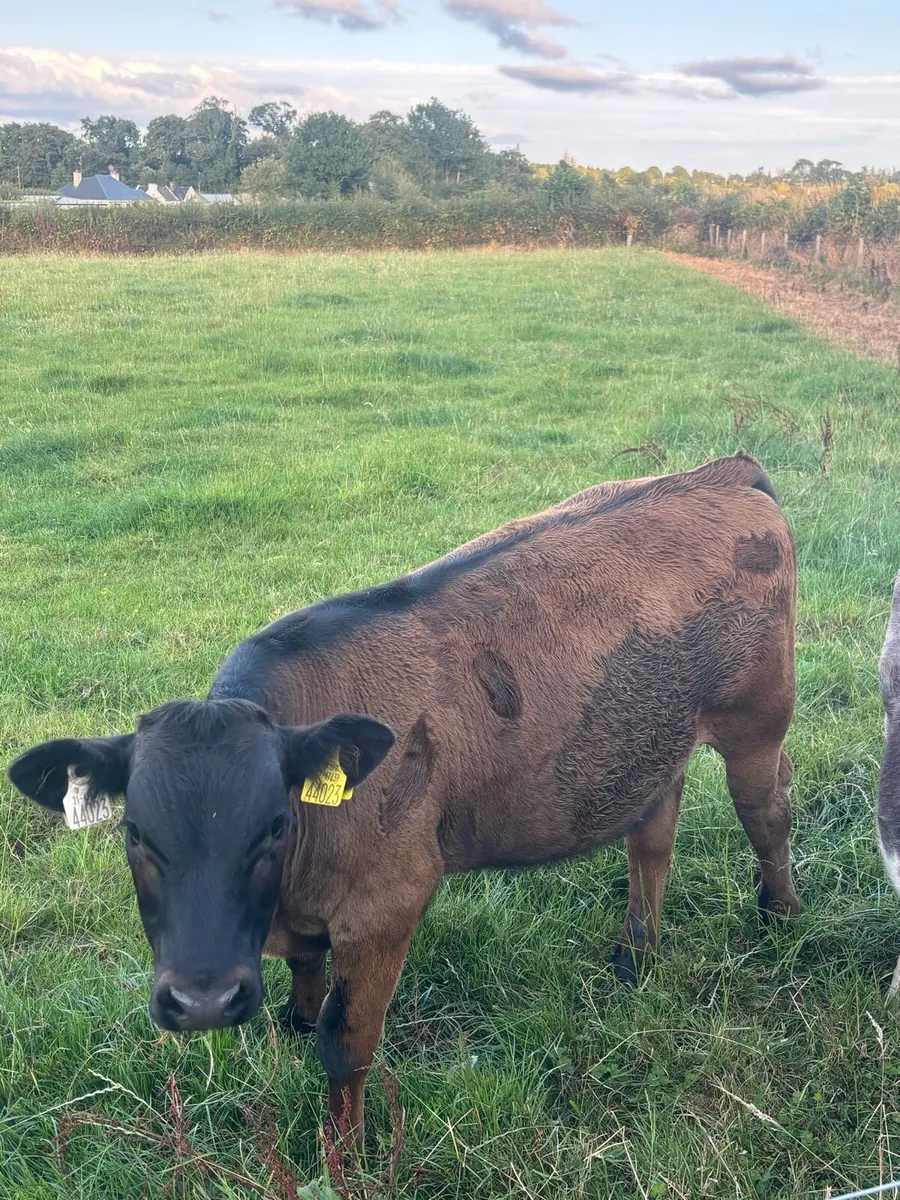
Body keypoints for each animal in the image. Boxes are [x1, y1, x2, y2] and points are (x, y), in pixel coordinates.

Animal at [8, 452, 802, 1146]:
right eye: (136, 834)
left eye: (273, 826)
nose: (202, 1001)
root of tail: (721, 470)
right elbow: (304, 981)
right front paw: (294, 1024)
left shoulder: (388, 900)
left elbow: (347, 1043)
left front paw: (345, 1153)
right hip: (653, 739)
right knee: (652, 838)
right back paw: (636, 955)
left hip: (756, 722)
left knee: (766, 816)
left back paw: (782, 918)